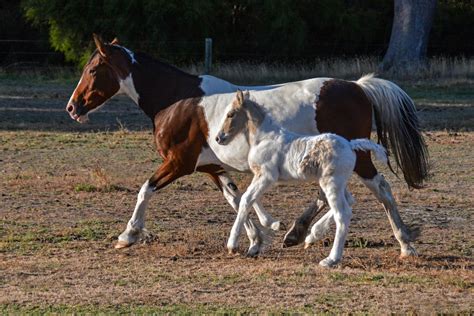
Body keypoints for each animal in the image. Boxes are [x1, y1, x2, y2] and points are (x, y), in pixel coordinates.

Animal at [217, 90, 386, 266]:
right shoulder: (258, 176)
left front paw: (232, 245)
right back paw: (312, 237)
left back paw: (330, 259)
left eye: (230, 114)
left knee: (343, 213)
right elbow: (248, 198)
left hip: (331, 183)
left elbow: (246, 199)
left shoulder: (266, 176)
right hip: (337, 183)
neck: (263, 137)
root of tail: (350, 145)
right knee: (349, 202)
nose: (219, 138)